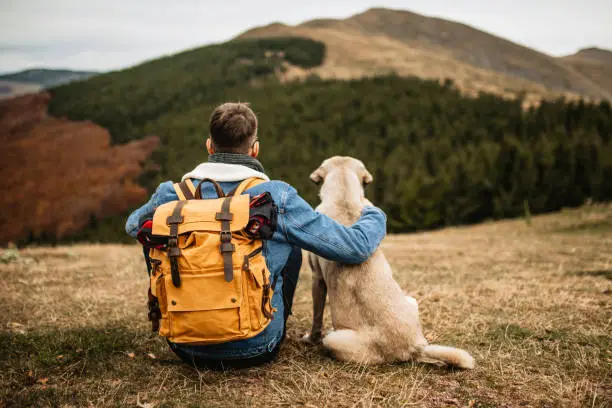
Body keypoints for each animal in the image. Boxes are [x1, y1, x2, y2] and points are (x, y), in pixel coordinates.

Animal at [302, 157, 474, 370]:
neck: (344, 197)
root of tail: (413, 346)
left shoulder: (317, 278)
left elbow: (316, 316)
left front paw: (310, 338)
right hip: (412, 301)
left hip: (334, 339)